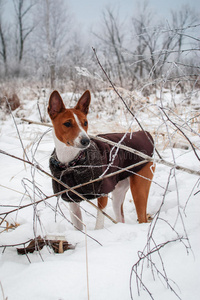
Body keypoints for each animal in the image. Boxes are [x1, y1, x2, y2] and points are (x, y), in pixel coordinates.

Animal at [47, 89, 155, 230]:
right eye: (67, 124)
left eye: (85, 123)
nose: (86, 140)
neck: (72, 162)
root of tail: (143, 133)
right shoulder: (72, 198)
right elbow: (78, 226)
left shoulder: (102, 193)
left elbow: (99, 223)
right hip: (118, 191)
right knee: (120, 217)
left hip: (139, 188)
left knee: (142, 217)